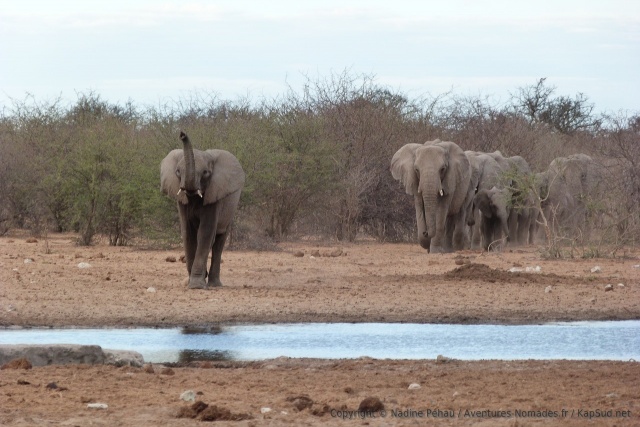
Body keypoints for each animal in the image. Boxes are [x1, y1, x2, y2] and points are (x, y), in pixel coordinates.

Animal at [160, 132, 245, 289]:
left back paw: (215, 284)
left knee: (219, 242)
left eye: (206, 173)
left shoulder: (214, 195)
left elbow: (205, 233)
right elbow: (188, 234)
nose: (182, 134)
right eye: (178, 172)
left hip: (231, 209)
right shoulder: (182, 201)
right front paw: (191, 282)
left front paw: (196, 286)